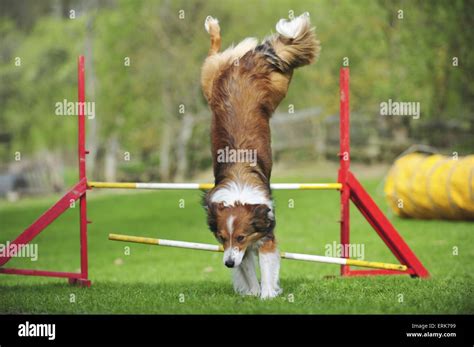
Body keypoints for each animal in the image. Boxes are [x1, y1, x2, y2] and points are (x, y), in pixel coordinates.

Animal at [200, 11, 318, 300]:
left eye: (241, 237)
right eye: (222, 237)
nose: (227, 263)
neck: (239, 190)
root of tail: (248, 64)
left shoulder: (264, 237)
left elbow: (265, 267)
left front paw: (266, 294)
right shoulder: (238, 250)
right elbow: (248, 270)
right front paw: (252, 292)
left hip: (277, 84)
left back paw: (214, 27)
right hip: (213, 82)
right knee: (218, 54)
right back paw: (214, 27)